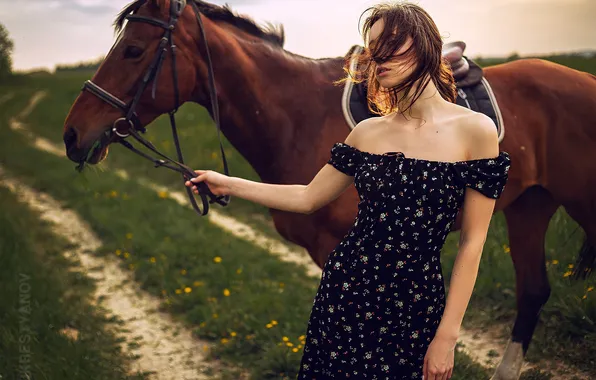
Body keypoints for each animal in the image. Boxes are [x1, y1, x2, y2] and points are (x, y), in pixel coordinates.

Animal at [62, 1, 592, 378]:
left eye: (133, 50)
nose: (72, 134)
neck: (298, 115)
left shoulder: (330, 246)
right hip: (529, 207)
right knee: (533, 292)